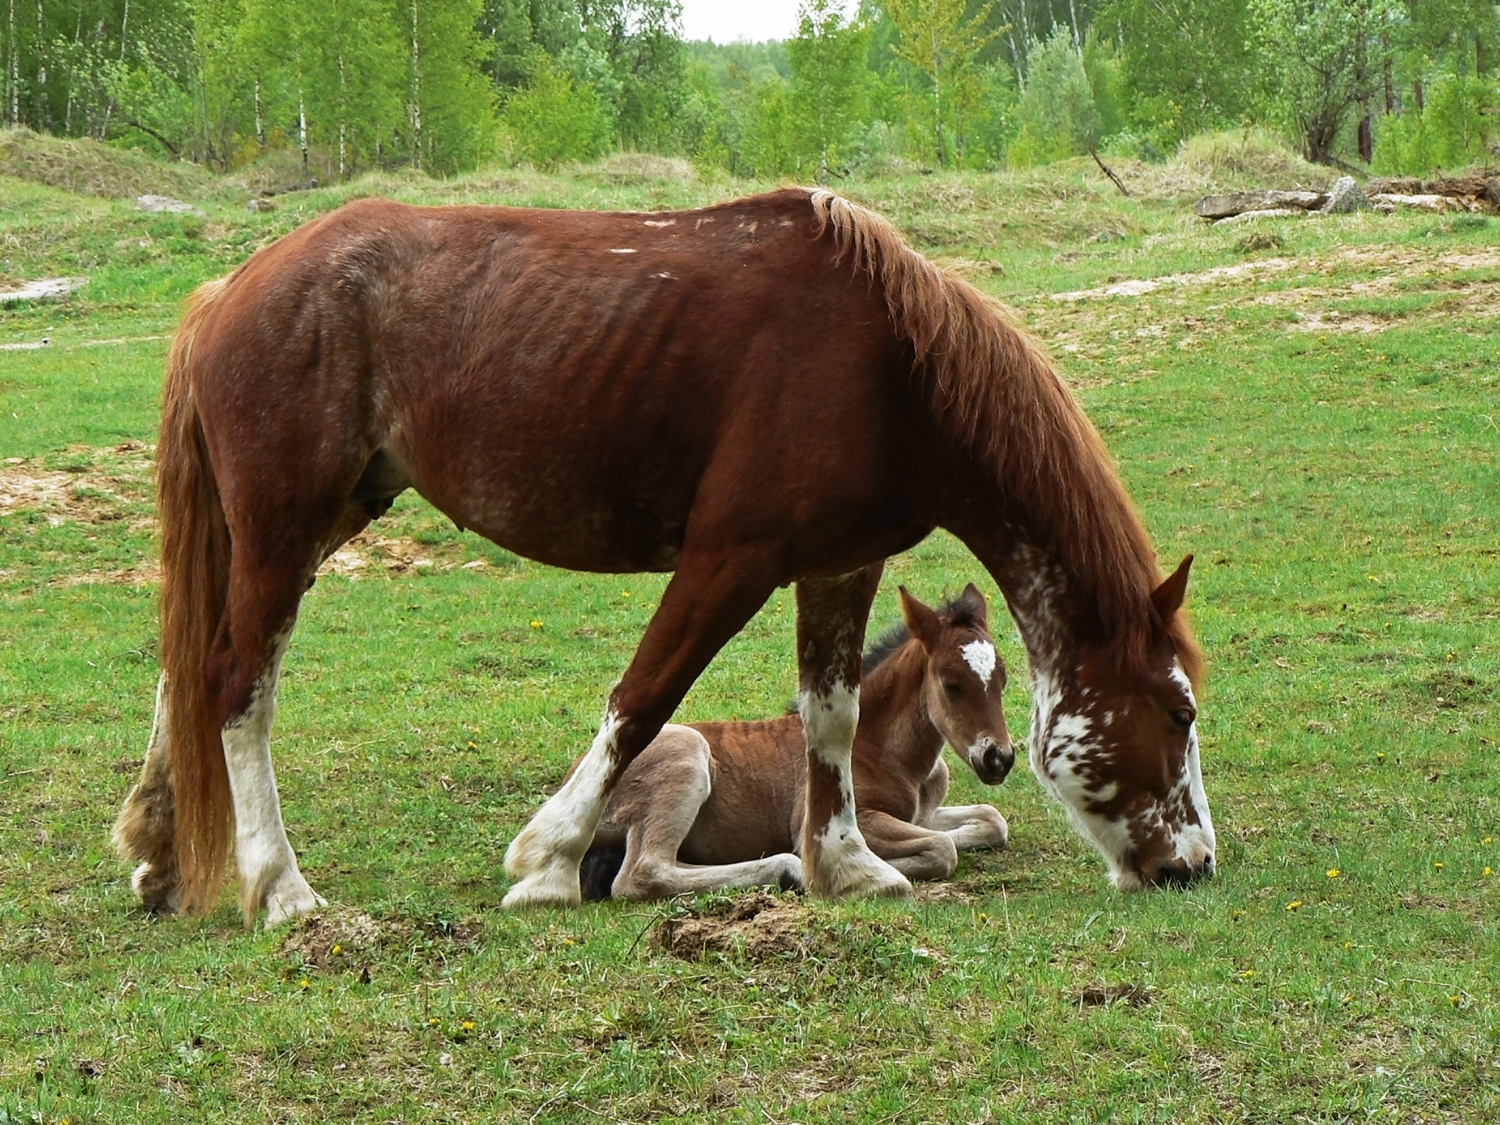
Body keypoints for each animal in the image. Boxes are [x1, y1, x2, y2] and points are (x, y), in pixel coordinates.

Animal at [579, 585, 1014, 906]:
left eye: (1004, 679)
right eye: (950, 682)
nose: (1000, 758)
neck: (883, 749)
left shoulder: (923, 812)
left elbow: (991, 820)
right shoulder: (838, 819)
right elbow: (942, 848)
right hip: (685, 754)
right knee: (641, 873)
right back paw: (789, 869)